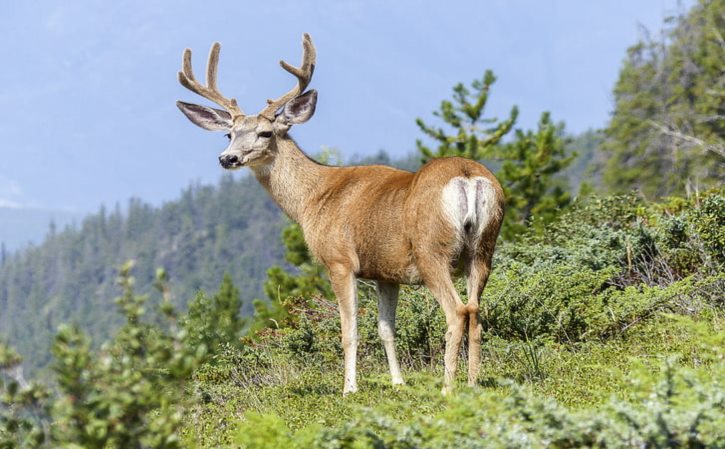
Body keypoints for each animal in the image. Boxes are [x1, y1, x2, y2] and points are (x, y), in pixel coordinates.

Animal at [175, 34, 504, 392]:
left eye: (265, 133)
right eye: (229, 133)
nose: (228, 158)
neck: (313, 199)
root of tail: (467, 178)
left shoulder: (339, 260)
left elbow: (349, 331)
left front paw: (349, 388)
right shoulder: (385, 272)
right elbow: (386, 329)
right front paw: (398, 383)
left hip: (432, 250)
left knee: (457, 310)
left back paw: (448, 387)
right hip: (484, 248)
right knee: (476, 310)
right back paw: (473, 383)